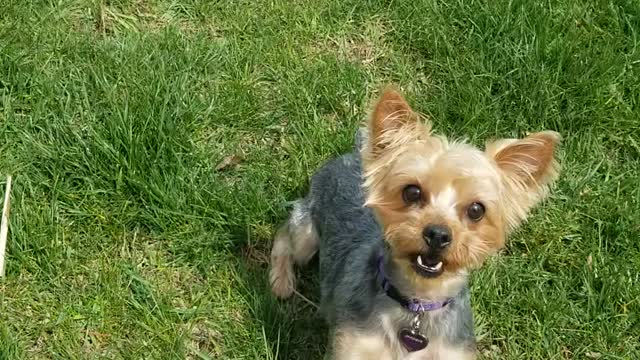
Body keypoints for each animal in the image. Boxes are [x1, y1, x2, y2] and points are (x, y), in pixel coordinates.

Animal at [270, 88, 560, 360]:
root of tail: (353, 154)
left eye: (477, 210)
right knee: (284, 235)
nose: (438, 234)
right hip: (307, 234)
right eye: (412, 192)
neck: (417, 304)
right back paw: (281, 281)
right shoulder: (352, 345)